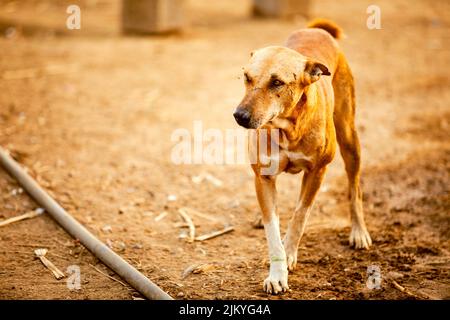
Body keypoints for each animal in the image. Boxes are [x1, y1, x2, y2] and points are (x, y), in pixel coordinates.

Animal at [234, 19, 370, 296]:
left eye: (277, 82)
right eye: (247, 77)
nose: (240, 116)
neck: (288, 127)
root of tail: (315, 29)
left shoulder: (317, 172)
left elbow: (299, 215)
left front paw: (289, 253)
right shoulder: (264, 176)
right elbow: (273, 228)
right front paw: (277, 273)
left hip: (350, 139)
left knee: (355, 188)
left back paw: (359, 231)